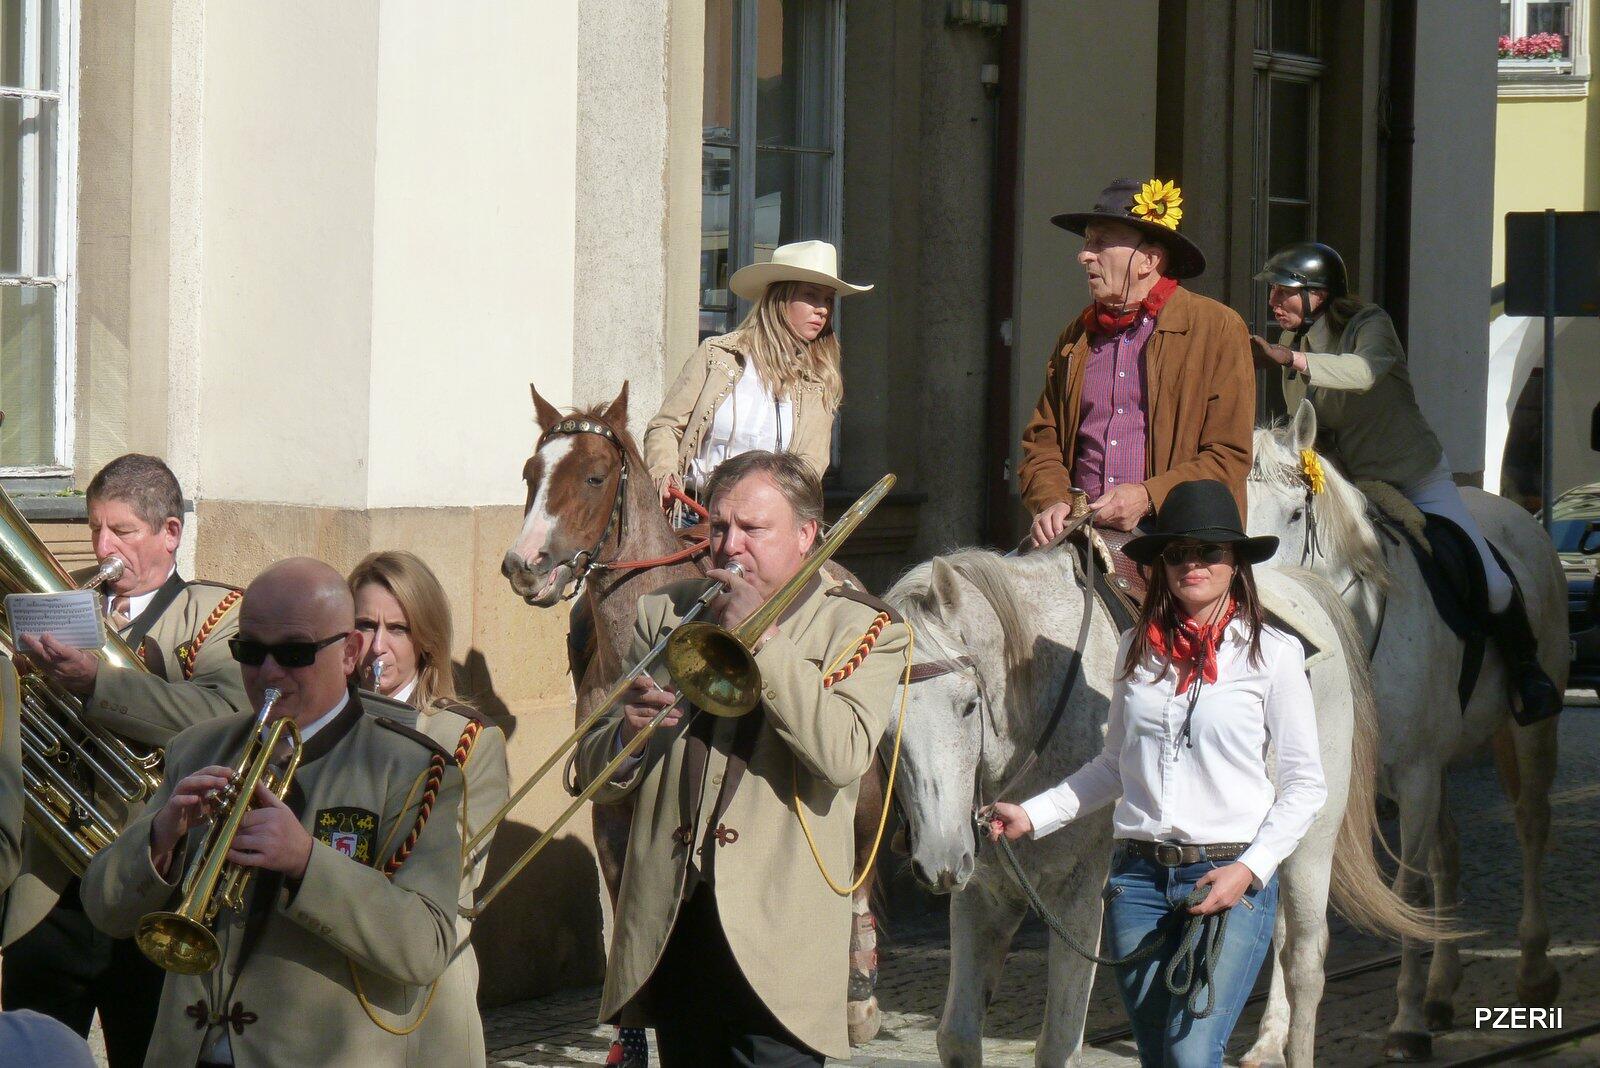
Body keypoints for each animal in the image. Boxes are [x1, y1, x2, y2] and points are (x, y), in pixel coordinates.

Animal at [1248, 400, 1565, 1061]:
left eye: (1293, 515)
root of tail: (1517, 516)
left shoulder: (1415, 777)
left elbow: (1407, 891)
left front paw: (1406, 1023)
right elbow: (1291, 919)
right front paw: (1270, 1037)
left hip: (1527, 732)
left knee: (1529, 824)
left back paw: (1530, 966)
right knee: (1449, 852)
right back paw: (1443, 987)